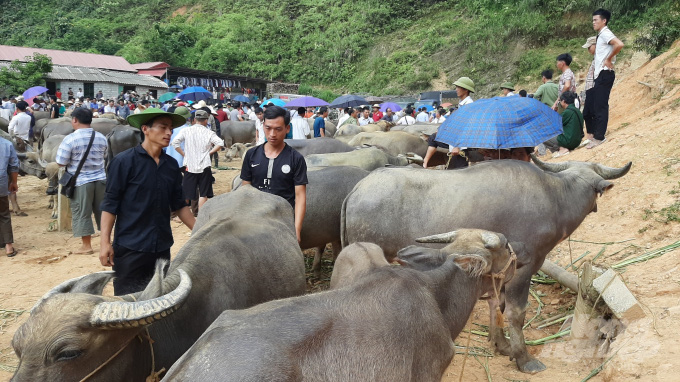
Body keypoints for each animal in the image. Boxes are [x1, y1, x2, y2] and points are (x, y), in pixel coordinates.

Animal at [342, 156, 636, 374]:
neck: (555, 198)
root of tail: (357, 190)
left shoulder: (500, 271)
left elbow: (497, 305)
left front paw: (501, 345)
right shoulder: (523, 269)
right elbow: (516, 314)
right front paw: (524, 358)